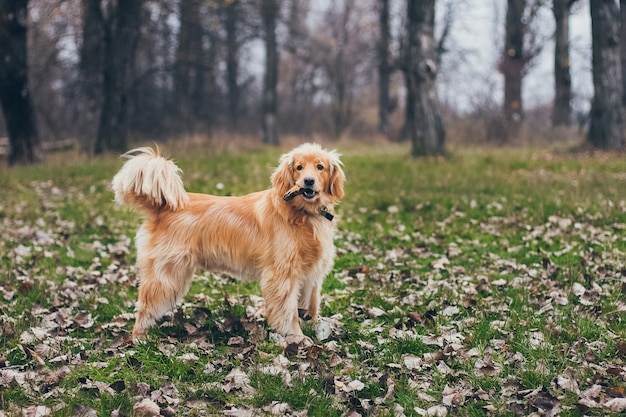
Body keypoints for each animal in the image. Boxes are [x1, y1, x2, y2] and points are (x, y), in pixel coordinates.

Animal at [112, 141, 346, 340]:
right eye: (299, 167)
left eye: (320, 167)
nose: (308, 181)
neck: (303, 214)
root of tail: (164, 207)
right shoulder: (282, 275)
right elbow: (289, 313)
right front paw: (297, 337)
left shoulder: (311, 274)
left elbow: (311, 304)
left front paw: (316, 328)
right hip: (167, 273)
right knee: (145, 306)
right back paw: (140, 338)